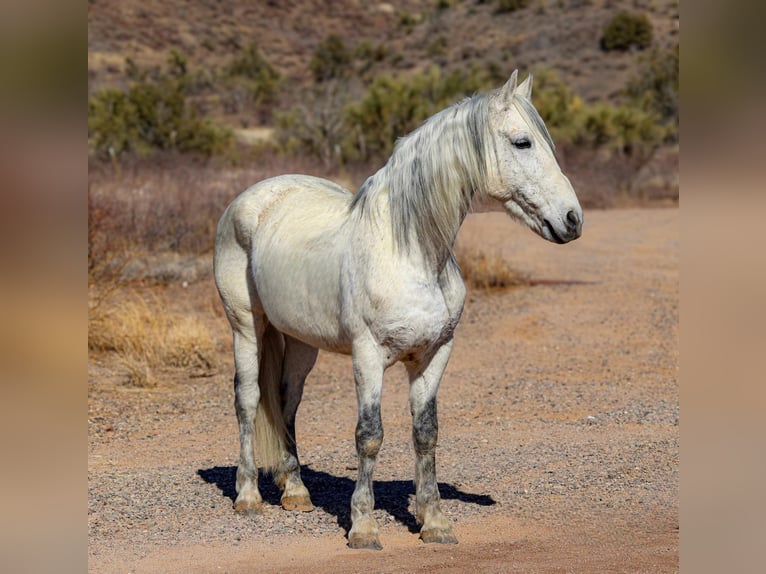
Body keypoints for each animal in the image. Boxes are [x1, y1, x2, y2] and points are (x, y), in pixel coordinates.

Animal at [213, 70, 582, 550]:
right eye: (523, 142)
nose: (573, 219)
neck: (409, 251)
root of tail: (250, 198)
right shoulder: (368, 356)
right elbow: (369, 436)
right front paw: (364, 527)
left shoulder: (434, 355)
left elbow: (426, 434)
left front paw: (435, 521)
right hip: (246, 326)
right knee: (248, 398)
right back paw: (248, 496)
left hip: (300, 341)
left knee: (286, 401)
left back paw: (295, 492)